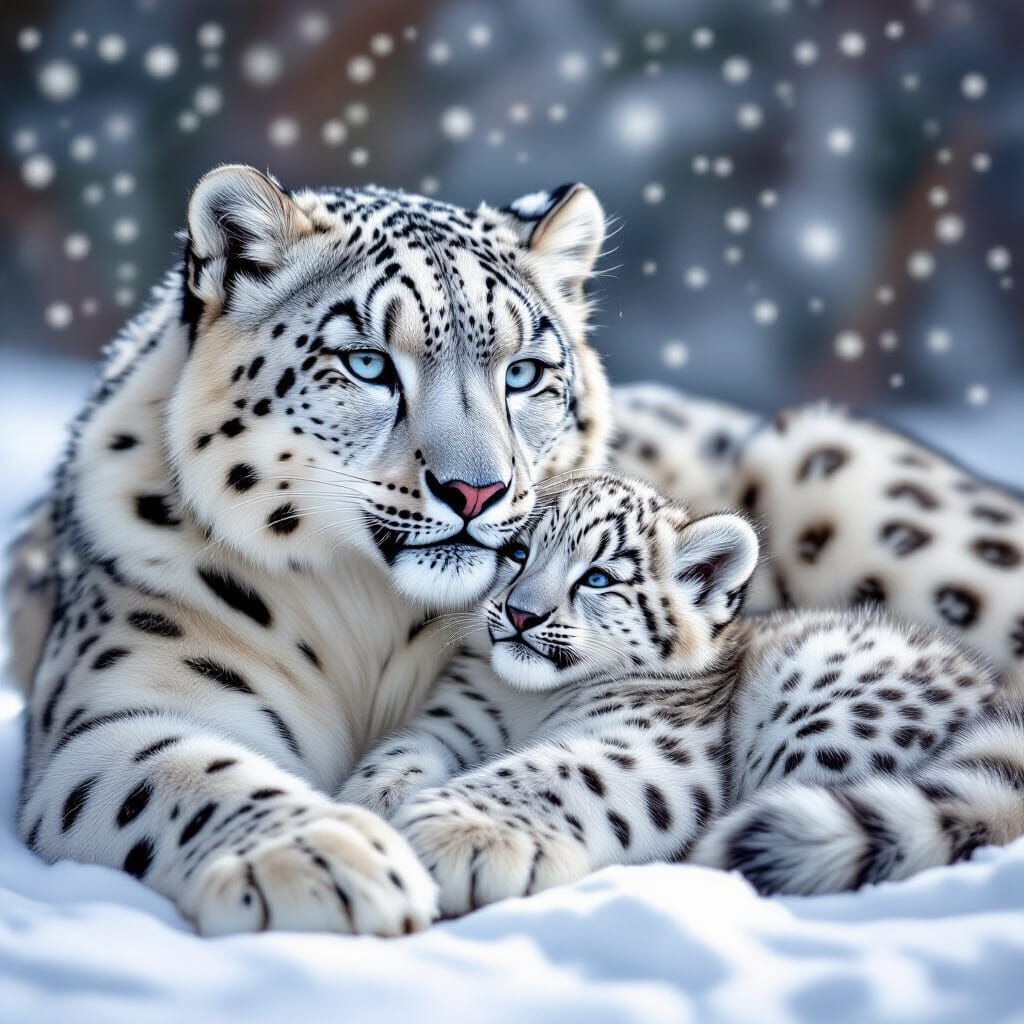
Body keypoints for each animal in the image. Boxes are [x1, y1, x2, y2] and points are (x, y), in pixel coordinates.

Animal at [6, 164, 612, 935]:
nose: (476, 490)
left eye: (524, 374)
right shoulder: (110, 712)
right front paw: (325, 858)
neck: (367, 614)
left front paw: (481, 834)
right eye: (368, 364)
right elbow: (184, 769)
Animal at [340, 471, 999, 916]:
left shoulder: (646, 743)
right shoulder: (455, 718)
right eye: (518, 551)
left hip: (818, 720)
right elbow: (401, 754)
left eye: (598, 578)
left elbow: (553, 772)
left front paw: (459, 838)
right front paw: (370, 809)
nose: (522, 614)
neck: (528, 703)